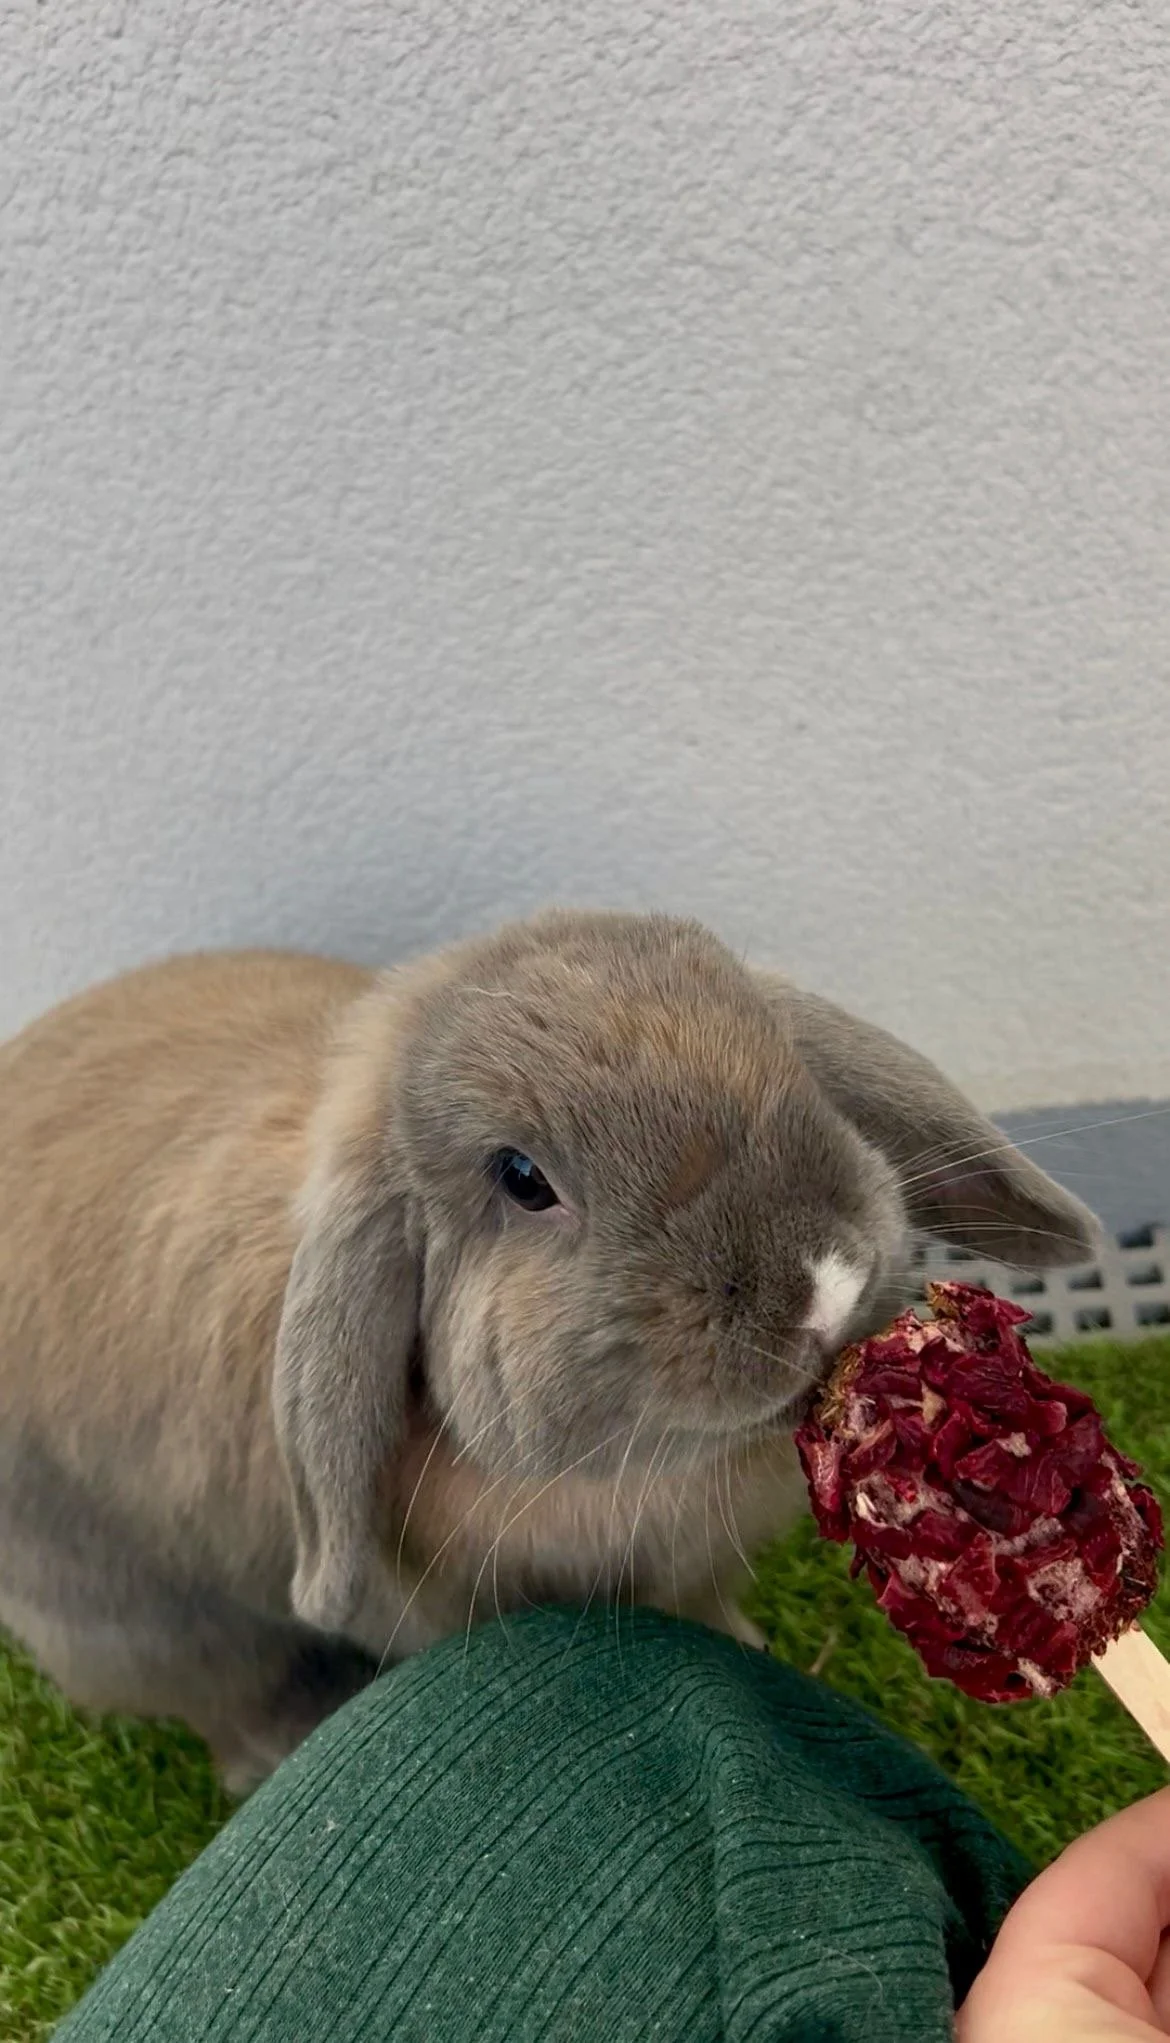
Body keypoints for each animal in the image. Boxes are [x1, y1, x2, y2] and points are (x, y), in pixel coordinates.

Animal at [0, 910, 1095, 1789]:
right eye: (522, 1178)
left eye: (788, 1060)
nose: (823, 1285)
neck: (642, 1476)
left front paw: (753, 1651)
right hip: (137, 1625)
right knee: (224, 1701)